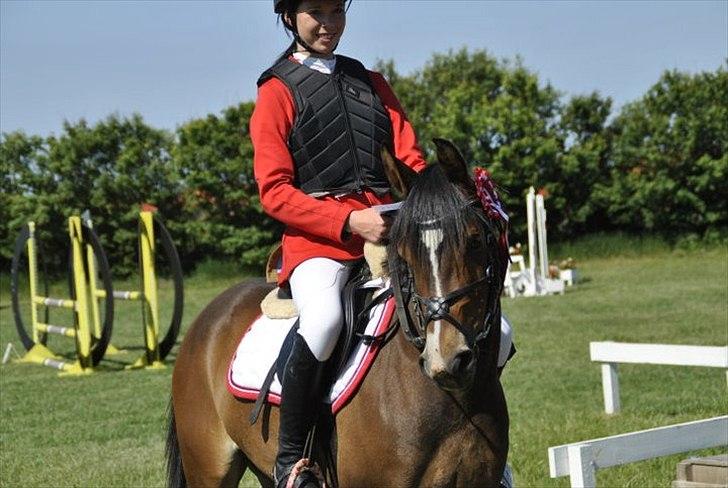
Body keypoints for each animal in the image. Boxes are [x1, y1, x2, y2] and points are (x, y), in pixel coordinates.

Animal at [166, 138, 509, 488]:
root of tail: (207, 318)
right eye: (403, 253)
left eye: (475, 241)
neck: (455, 403)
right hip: (208, 470)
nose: (445, 360)